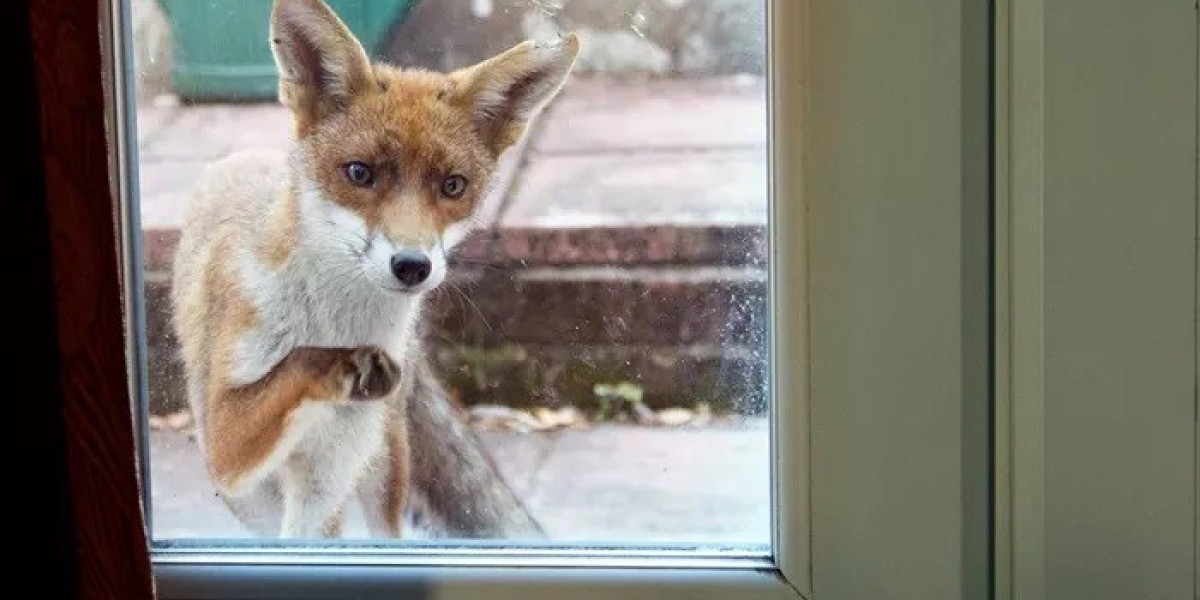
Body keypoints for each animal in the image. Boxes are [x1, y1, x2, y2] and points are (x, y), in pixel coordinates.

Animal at [170, 0, 579, 538]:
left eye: (453, 186)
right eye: (359, 173)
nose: (412, 266)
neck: (331, 322)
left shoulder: (326, 479)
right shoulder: (226, 447)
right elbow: (294, 366)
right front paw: (342, 363)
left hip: (382, 468)